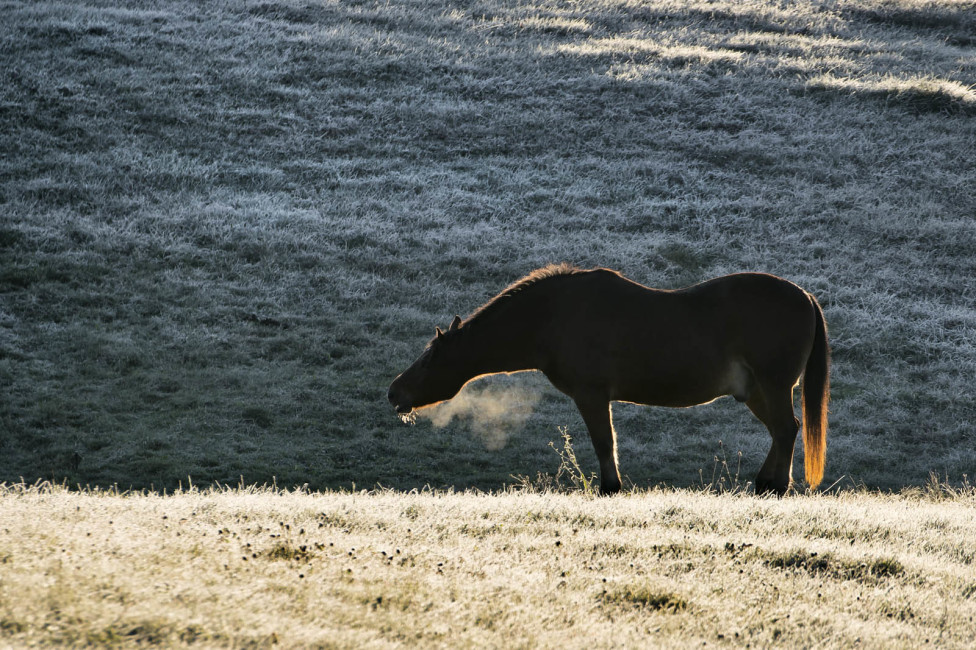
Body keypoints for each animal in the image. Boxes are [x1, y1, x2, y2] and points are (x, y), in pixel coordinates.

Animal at [388, 260, 832, 494]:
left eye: (429, 359)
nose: (394, 392)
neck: (552, 317)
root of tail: (805, 296)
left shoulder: (591, 394)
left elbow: (604, 443)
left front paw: (610, 488)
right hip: (756, 392)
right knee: (783, 431)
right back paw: (764, 483)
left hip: (773, 386)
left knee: (786, 429)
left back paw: (776, 487)